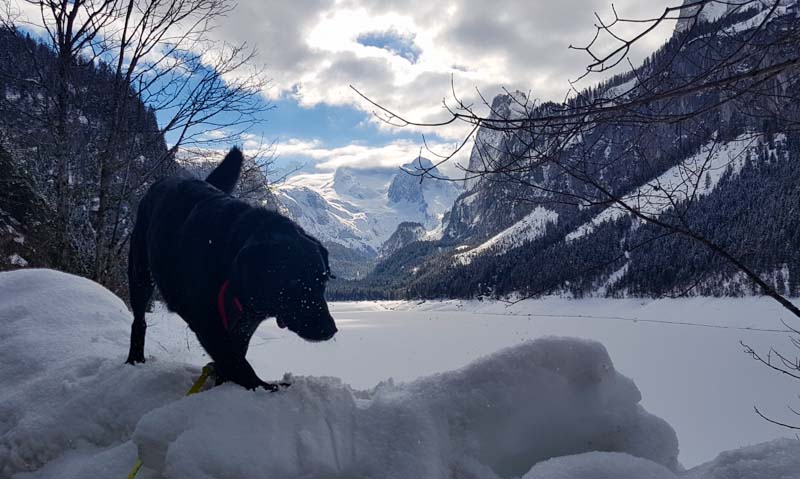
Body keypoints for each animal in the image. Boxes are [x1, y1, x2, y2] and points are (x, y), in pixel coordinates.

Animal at [125, 149, 338, 390]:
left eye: (323, 281)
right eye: (293, 282)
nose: (330, 329)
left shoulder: (244, 325)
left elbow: (234, 357)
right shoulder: (207, 321)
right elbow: (236, 362)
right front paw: (265, 387)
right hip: (140, 274)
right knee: (139, 321)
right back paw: (135, 359)